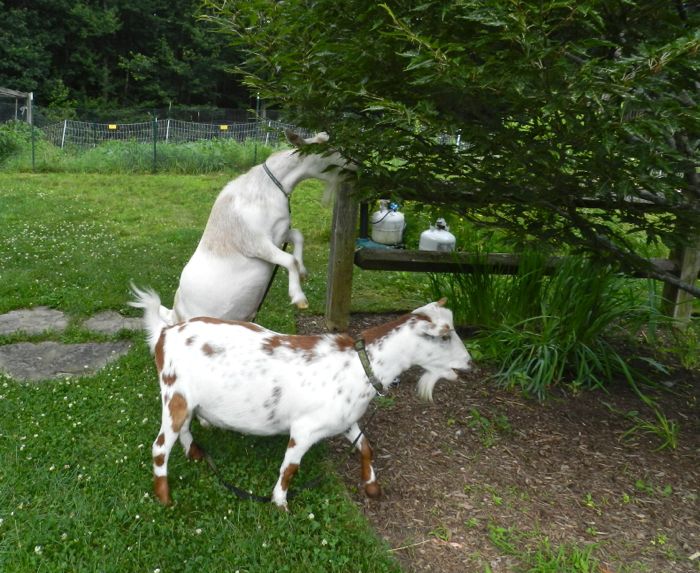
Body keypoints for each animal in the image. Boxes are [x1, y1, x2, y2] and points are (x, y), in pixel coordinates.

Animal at [130, 285, 472, 510]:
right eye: (444, 336)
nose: (469, 363)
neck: (360, 365)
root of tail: (165, 333)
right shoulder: (305, 429)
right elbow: (290, 467)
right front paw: (280, 503)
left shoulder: (344, 420)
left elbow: (366, 447)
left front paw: (372, 486)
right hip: (175, 395)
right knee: (160, 446)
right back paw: (165, 497)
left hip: (184, 400)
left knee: (184, 429)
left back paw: (195, 453)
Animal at [158, 130, 354, 325]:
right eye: (328, 151)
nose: (354, 165)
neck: (267, 188)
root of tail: (174, 315)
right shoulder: (256, 243)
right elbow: (290, 259)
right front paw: (299, 298)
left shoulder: (280, 232)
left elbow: (298, 236)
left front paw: (303, 272)